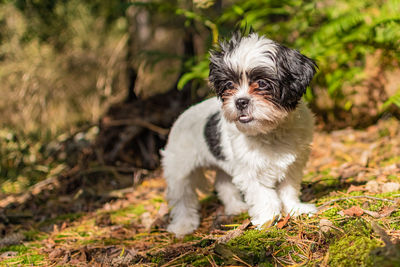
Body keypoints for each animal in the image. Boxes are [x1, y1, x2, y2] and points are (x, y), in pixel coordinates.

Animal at [161, 32, 318, 238]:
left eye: (262, 83)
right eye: (229, 84)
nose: (240, 101)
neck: (270, 132)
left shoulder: (293, 165)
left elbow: (288, 188)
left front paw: (295, 209)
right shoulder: (250, 172)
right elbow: (264, 195)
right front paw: (268, 219)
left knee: (223, 183)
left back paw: (235, 207)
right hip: (179, 169)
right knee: (182, 197)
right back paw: (183, 225)